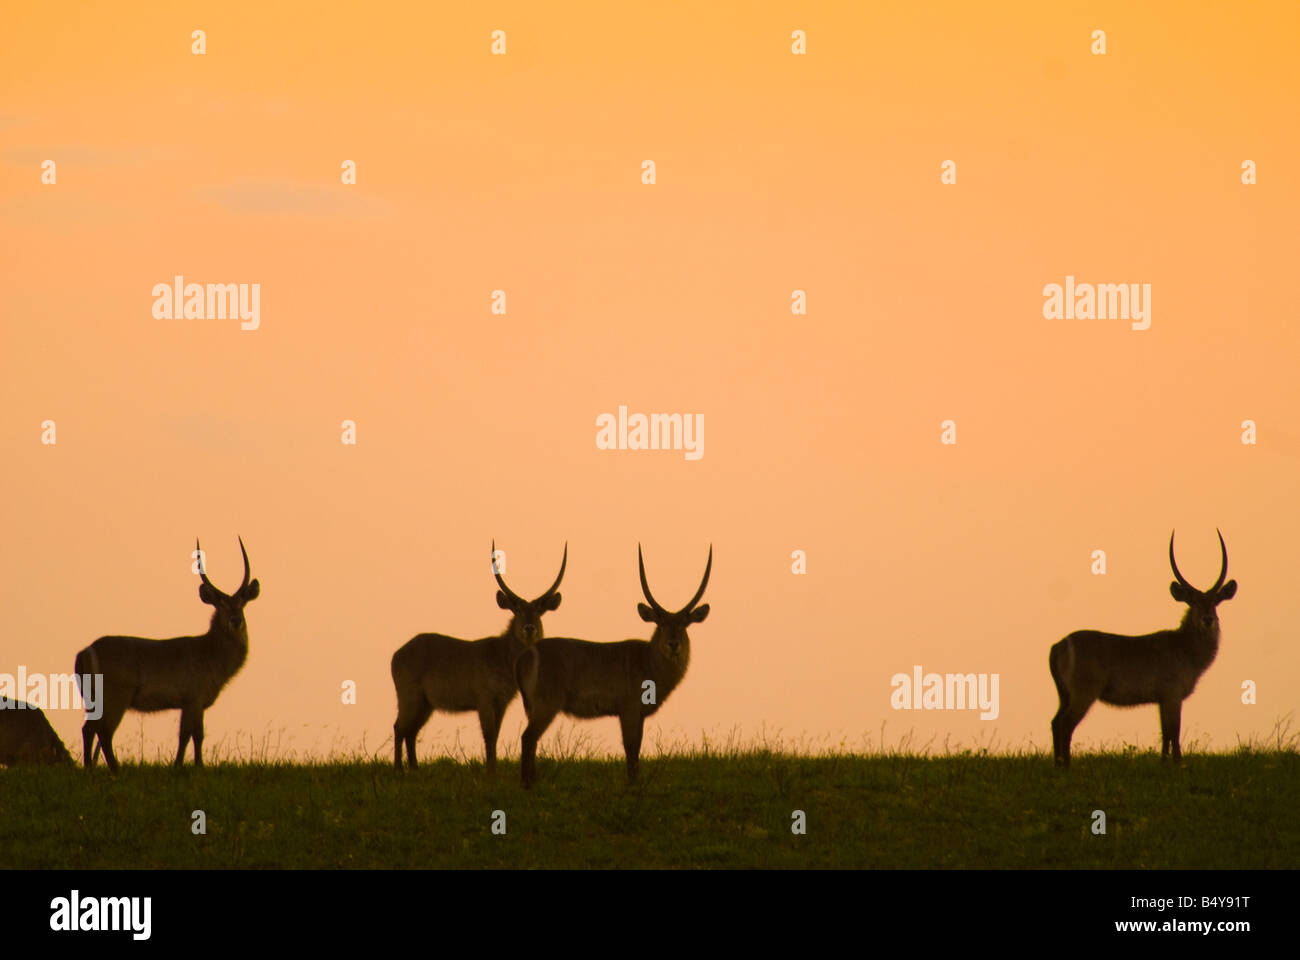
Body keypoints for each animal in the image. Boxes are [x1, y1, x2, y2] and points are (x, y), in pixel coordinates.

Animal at [76, 538, 261, 770]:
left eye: (242, 603)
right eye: (221, 605)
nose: (236, 620)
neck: (212, 655)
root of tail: (85, 652)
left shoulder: (191, 703)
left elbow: (191, 735)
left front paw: (187, 765)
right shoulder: (194, 697)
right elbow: (193, 735)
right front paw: (190, 766)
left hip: (92, 697)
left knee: (88, 728)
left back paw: (89, 767)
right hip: (116, 695)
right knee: (104, 732)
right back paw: (115, 769)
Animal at [387, 538, 566, 770]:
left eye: (538, 611)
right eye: (517, 609)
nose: (529, 628)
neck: (503, 656)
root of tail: (396, 654)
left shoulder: (502, 702)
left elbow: (496, 735)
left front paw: (494, 767)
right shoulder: (485, 699)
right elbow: (489, 736)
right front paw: (490, 770)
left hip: (426, 703)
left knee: (411, 731)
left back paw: (414, 768)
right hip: (410, 696)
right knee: (399, 727)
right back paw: (399, 769)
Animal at [514, 546, 712, 785]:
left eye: (684, 624)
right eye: (661, 623)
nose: (673, 644)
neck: (648, 661)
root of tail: (525, 654)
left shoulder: (640, 714)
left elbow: (636, 749)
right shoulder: (628, 708)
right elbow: (630, 749)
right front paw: (633, 785)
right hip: (547, 704)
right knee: (527, 738)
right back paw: (528, 785)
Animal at [1050, 528, 1232, 764]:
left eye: (1215, 601)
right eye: (1192, 601)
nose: (1207, 619)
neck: (1184, 648)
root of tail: (1058, 645)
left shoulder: (1162, 699)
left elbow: (1165, 734)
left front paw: (1164, 763)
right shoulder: (1172, 695)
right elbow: (1174, 732)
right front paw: (1178, 764)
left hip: (1064, 694)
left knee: (1055, 722)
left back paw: (1058, 765)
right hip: (1083, 692)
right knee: (1065, 725)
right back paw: (1067, 766)